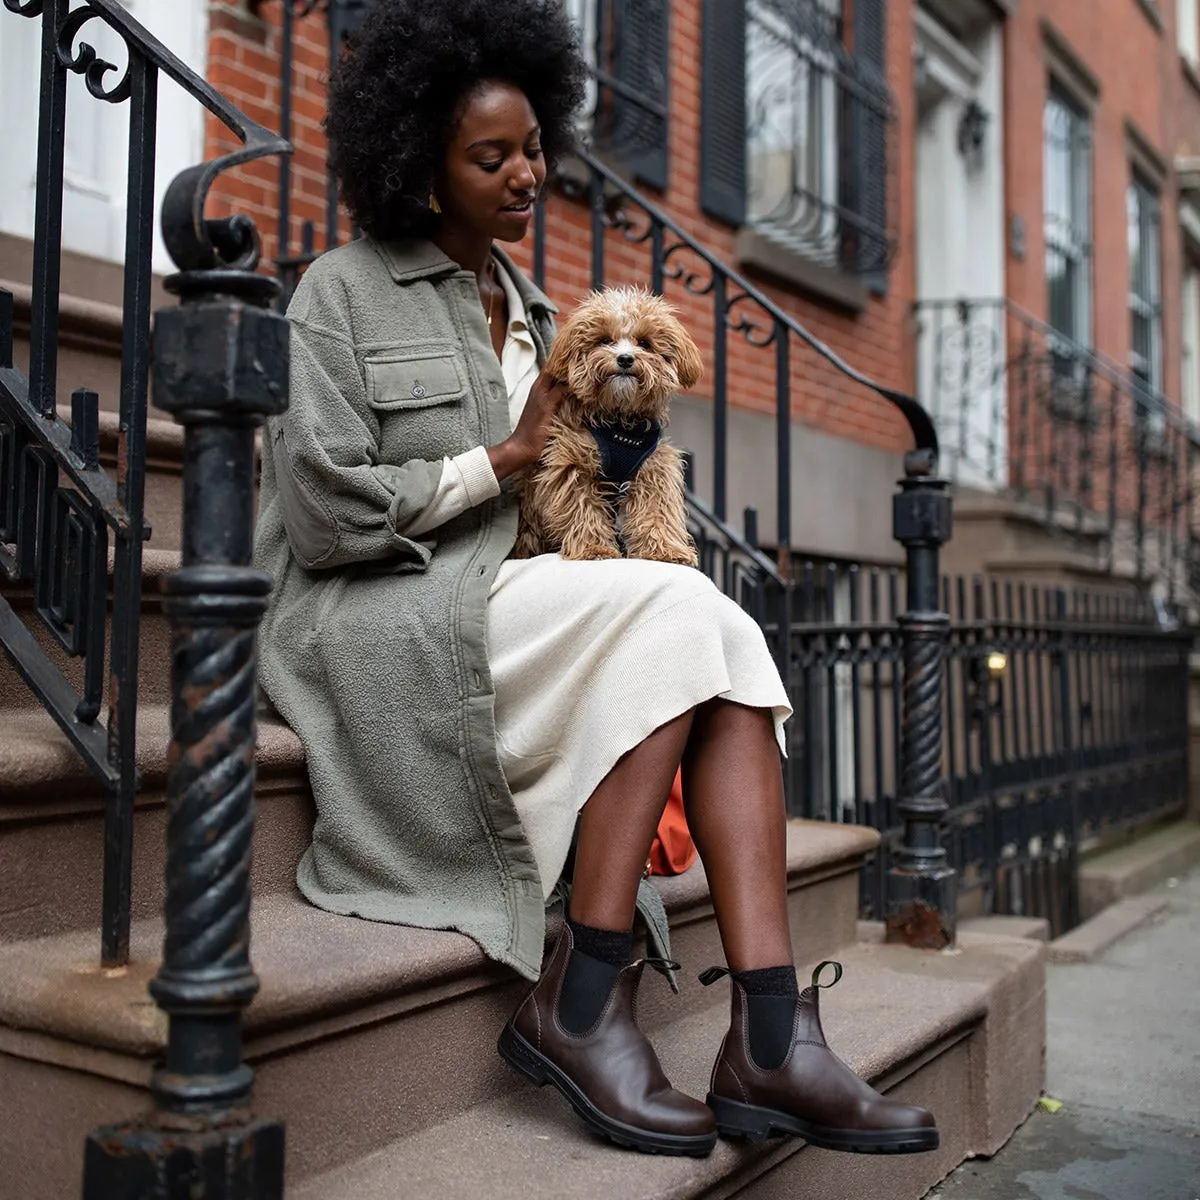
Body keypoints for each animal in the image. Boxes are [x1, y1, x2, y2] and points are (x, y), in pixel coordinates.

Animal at [513, 288, 700, 564]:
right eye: (603, 340)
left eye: (644, 343)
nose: (625, 359)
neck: (619, 422)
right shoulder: (571, 463)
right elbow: (582, 507)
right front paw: (595, 549)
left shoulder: (654, 467)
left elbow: (657, 508)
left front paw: (665, 550)